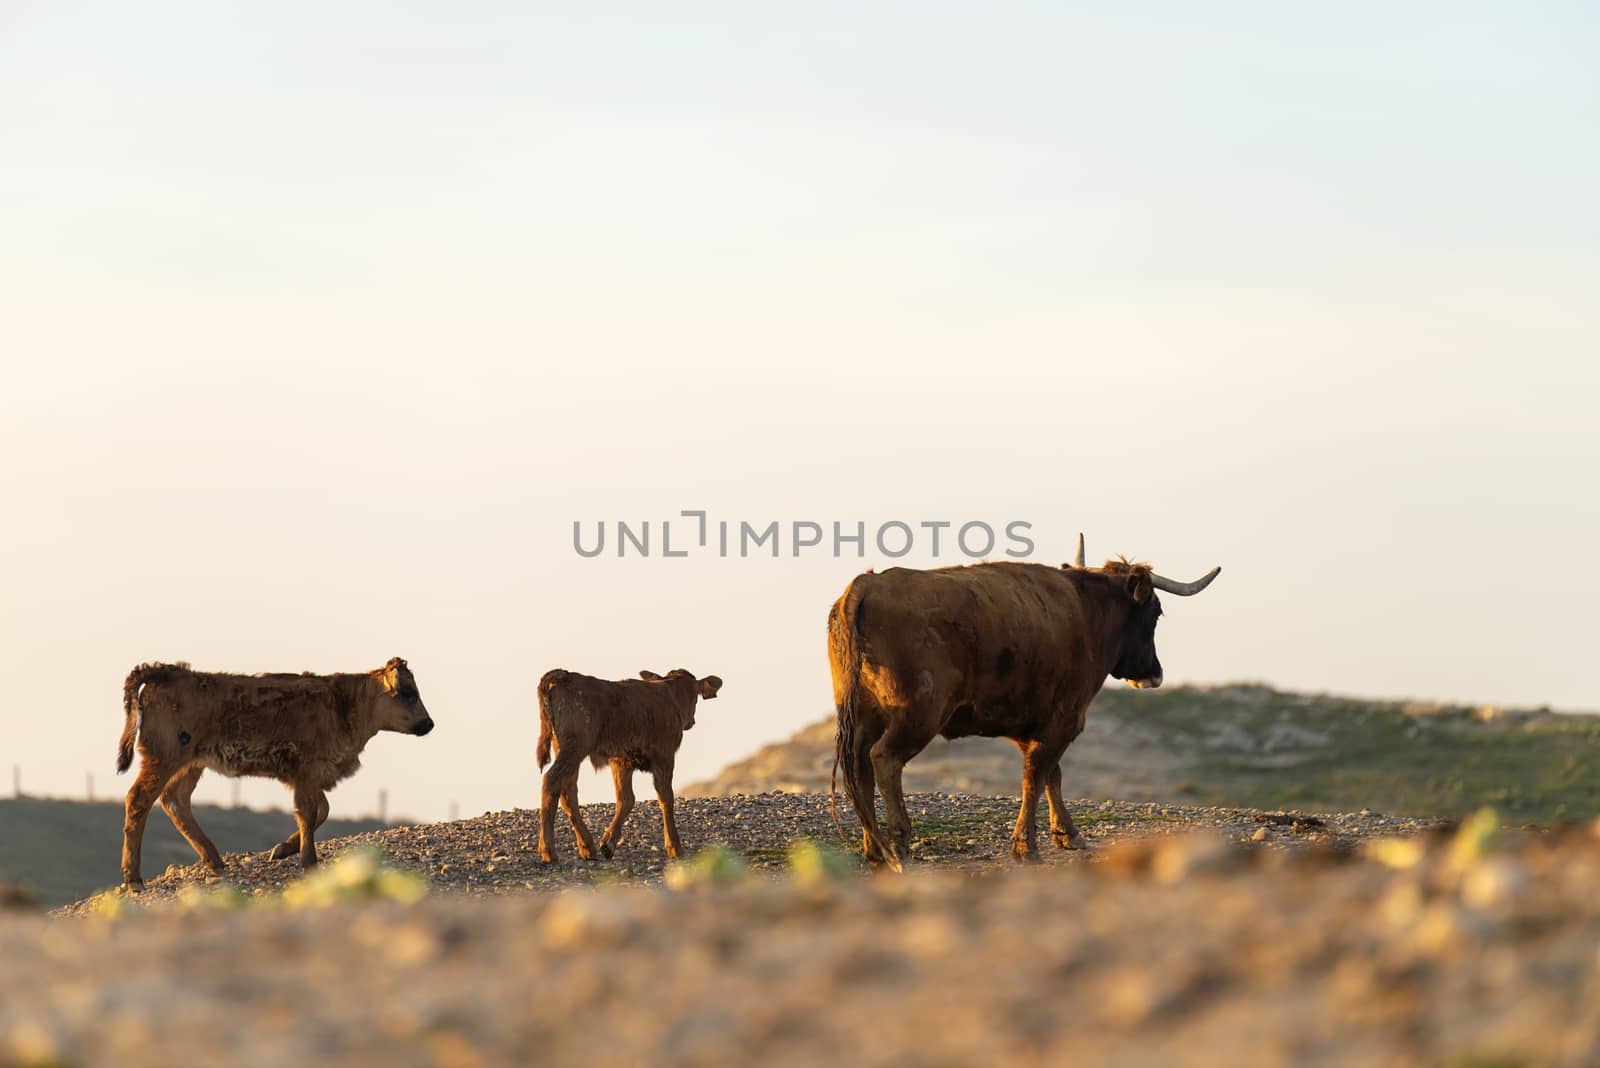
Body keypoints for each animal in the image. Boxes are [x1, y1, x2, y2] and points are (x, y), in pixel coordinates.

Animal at [116, 655, 435, 888]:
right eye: (408, 693)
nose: (429, 723)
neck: (343, 705)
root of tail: (167, 672)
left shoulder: (308, 776)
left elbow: (322, 810)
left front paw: (282, 849)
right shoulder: (307, 770)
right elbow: (308, 812)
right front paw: (309, 861)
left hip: (191, 764)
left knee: (175, 800)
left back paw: (215, 861)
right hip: (163, 759)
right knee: (139, 799)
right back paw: (134, 879)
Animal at [534, 661, 723, 863]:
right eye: (696, 697)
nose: (691, 721)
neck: (671, 694)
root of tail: (562, 675)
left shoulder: (621, 760)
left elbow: (626, 799)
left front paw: (608, 844)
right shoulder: (664, 757)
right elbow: (666, 797)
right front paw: (675, 847)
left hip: (565, 748)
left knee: (568, 790)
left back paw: (587, 847)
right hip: (574, 747)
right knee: (551, 781)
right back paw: (548, 851)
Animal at [832, 537, 1216, 869]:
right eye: (1155, 612)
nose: (1154, 674)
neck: (1086, 613)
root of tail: (868, 584)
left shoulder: (1033, 724)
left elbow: (1051, 775)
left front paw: (1066, 834)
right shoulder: (1063, 719)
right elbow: (1036, 776)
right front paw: (1026, 846)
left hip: (862, 716)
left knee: (861, 767)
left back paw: (874, 849)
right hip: (917, 715)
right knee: (885, 760)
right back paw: (897, 845)